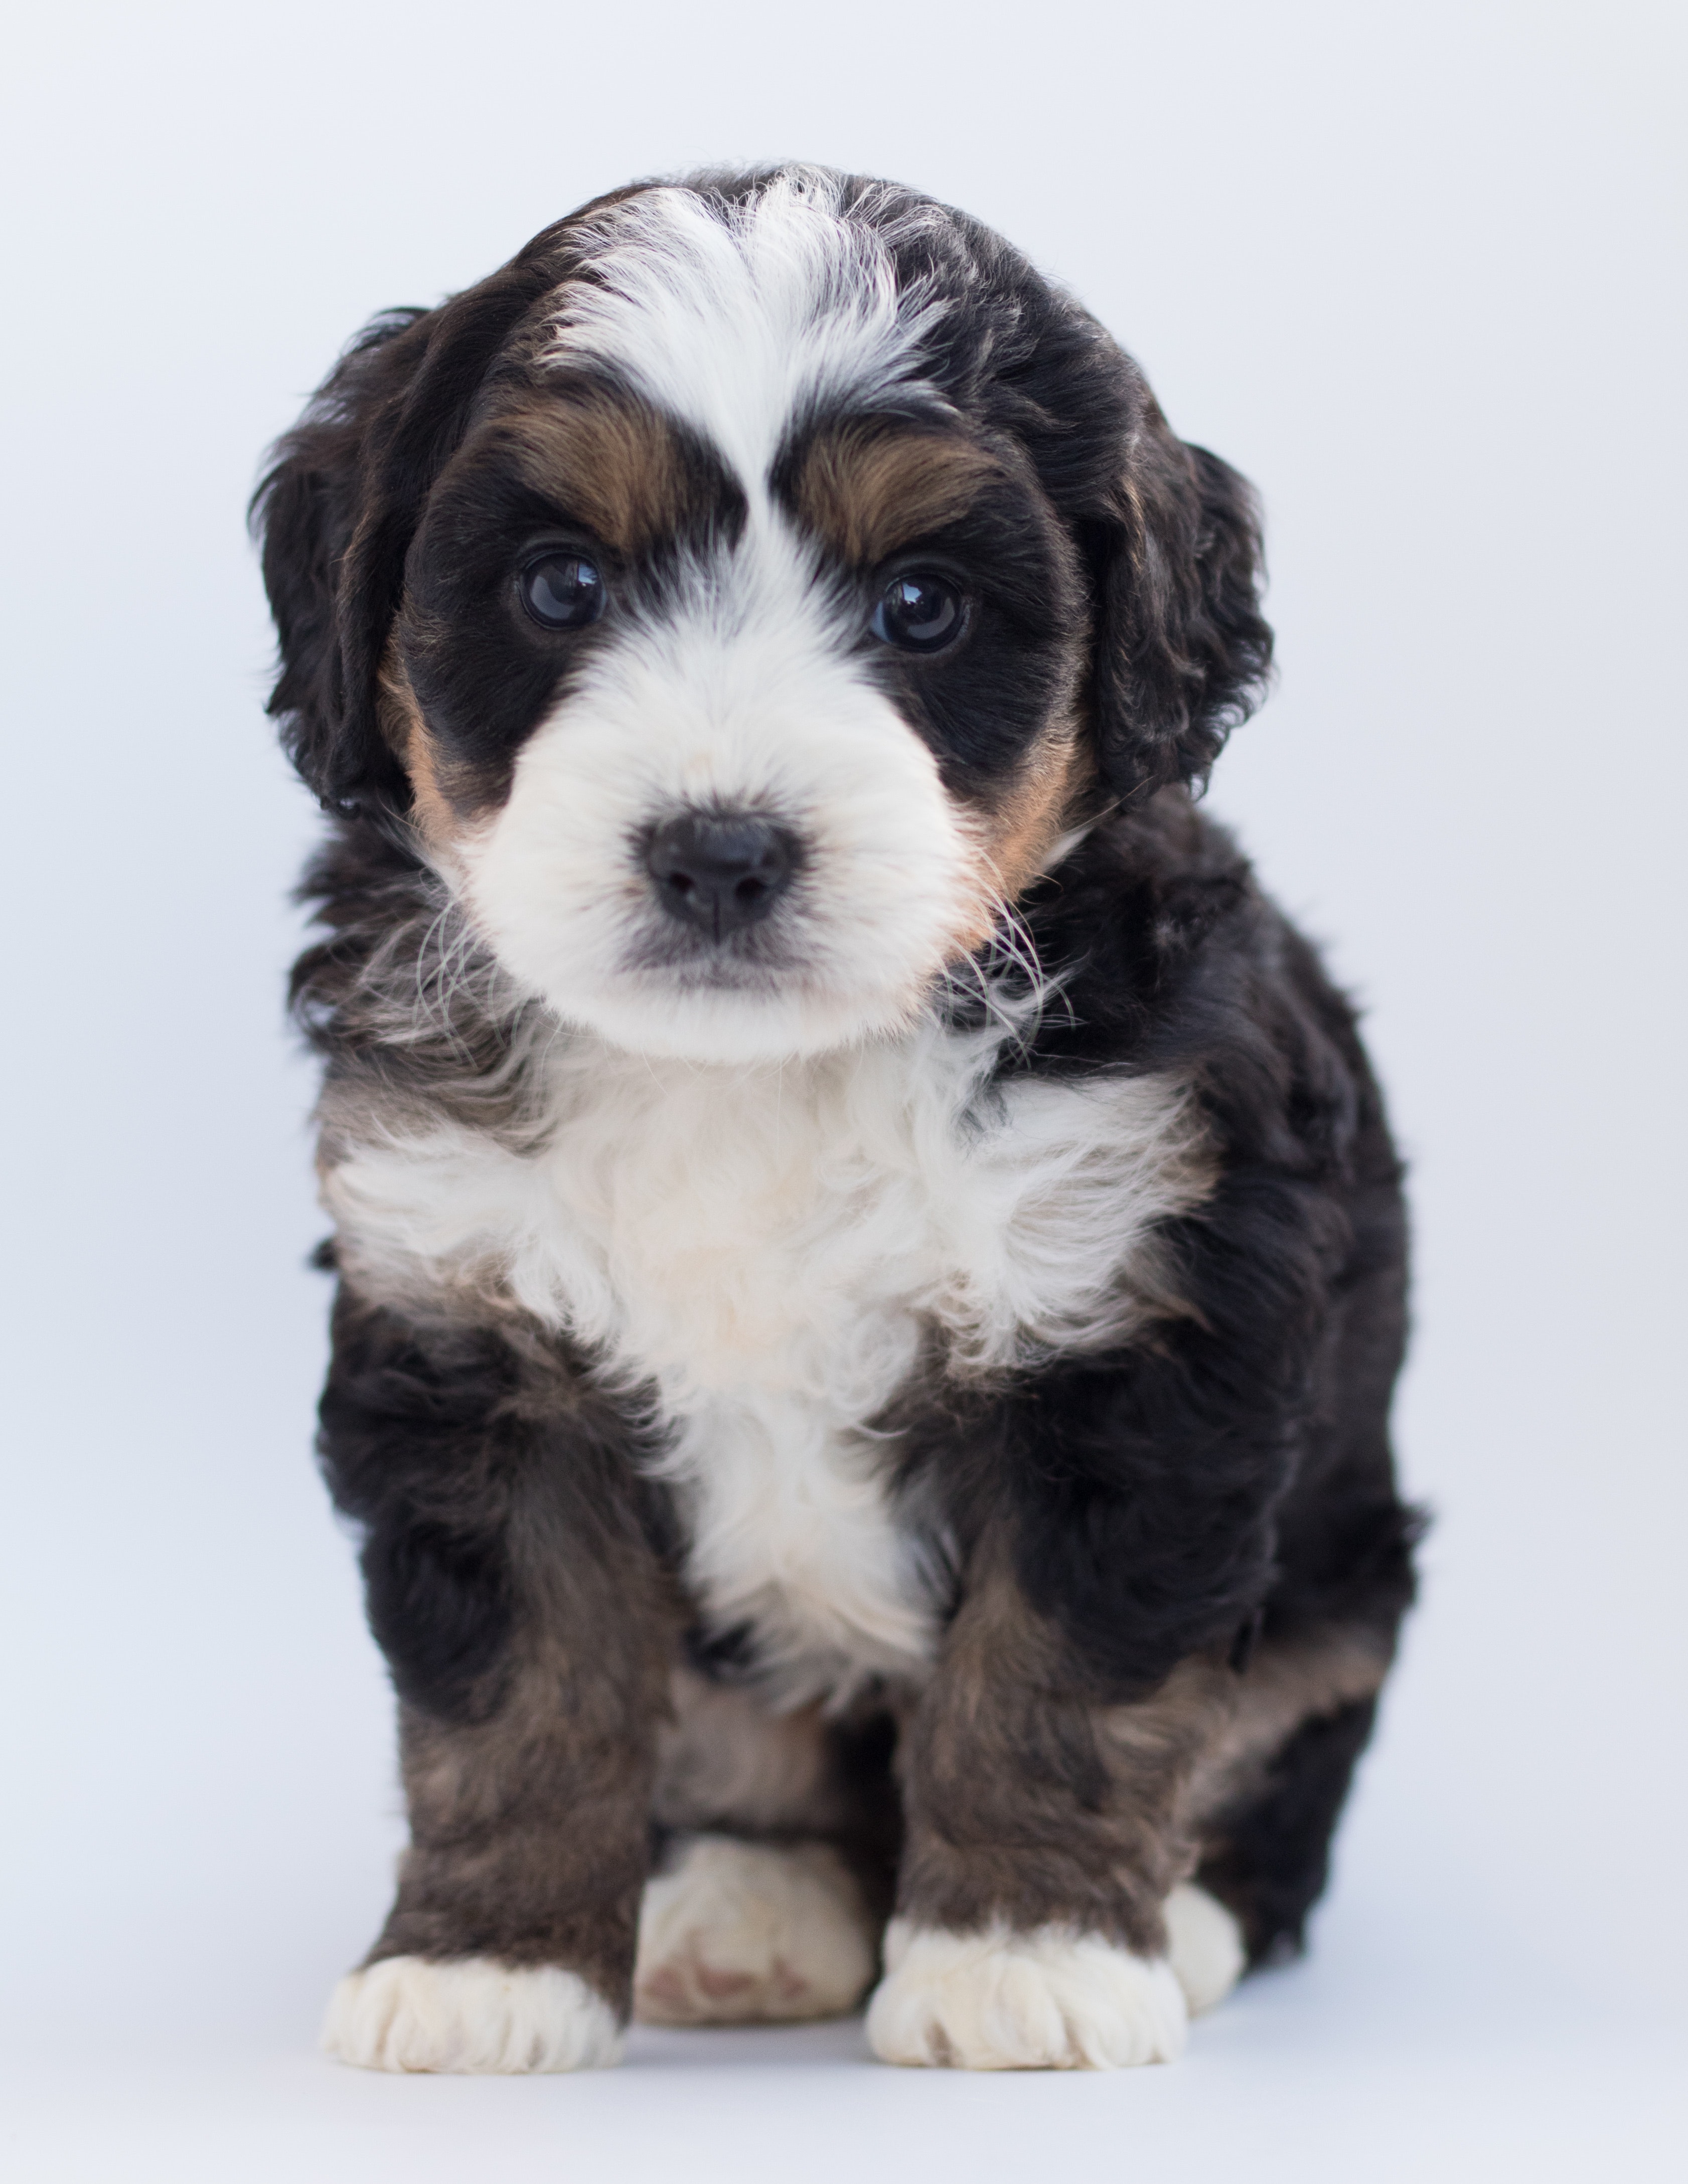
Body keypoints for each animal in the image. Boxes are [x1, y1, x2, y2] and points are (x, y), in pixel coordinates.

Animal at [256, 161, 1415, 2070]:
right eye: (560, 583)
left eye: (922, 607)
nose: (719, 849)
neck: (761, 1074)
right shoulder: (466, 1322)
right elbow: (516, 1686)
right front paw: (489, 1963)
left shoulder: (1141, 1324)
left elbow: (1068, 1669)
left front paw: (1025, 1949)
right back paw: (746, 1898)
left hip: (1343, 1578)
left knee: (1277, 1760)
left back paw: (1174, 1919)